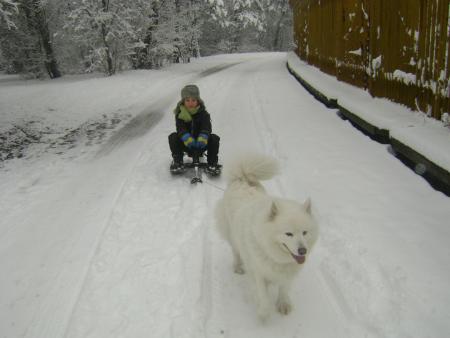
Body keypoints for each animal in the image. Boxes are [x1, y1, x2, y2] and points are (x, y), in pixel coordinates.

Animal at [215, 153, 318, 320]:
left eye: (304, 232)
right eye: (288, 234)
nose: (303, 251)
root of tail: (242, 178)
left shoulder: (286, 274)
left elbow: (284, 288)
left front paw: (283, 304)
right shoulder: (258, 272)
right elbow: (263, 294)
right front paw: (264, 312)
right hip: (232, 235)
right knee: (236, 251)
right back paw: (237, 267)